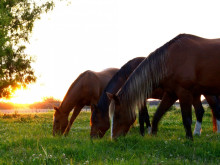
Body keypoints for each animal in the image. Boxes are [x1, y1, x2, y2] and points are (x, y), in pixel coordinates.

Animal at [90, 56, 218, 138]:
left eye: (95, 120)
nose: (92, 138)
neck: (130, 72)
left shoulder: (141, 98)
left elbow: (143, 116)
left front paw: (144, 132)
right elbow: (144, 116)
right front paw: (146, 131)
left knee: (214, 107)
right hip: (195, 94)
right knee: (200, 110)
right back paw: (198, 132)